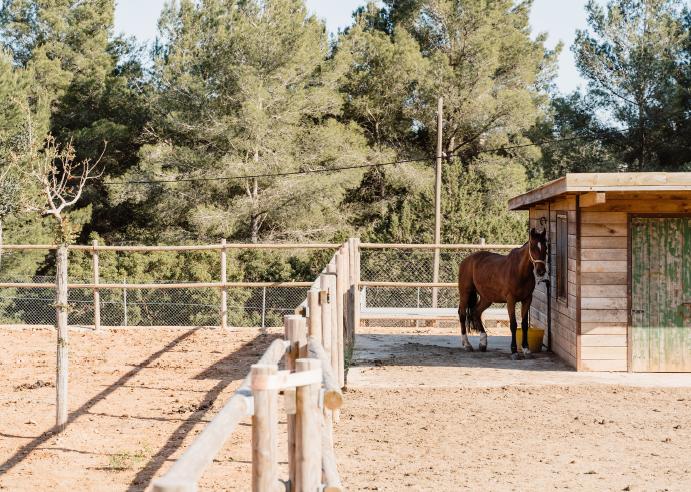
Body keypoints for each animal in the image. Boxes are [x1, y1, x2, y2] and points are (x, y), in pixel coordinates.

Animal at [457, 228, 547, 359]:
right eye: (533, 247)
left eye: (546, 247)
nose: (541, 271)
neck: (519, 271)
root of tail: (466, 260)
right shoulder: (511, 300)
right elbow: (513, 324)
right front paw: (514, 351)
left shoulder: (527, 299)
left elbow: (524, 325)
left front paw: (526, 349)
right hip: (465, 293)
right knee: (462, 314)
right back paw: (467, 344)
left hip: (486, 298)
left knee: (476, 312)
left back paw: (483, 343)